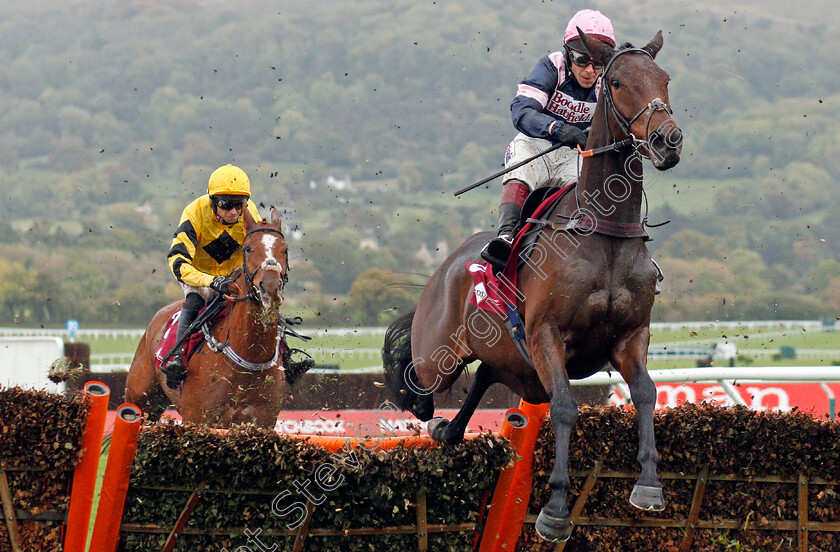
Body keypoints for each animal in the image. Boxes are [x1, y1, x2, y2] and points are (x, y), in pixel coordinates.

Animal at [123, 207, 290, 426]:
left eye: (285, 249)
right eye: (247, 248)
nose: (270, 288)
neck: (248, 358)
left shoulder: (262, 421)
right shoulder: (198, 418)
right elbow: (180, 257)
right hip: (139, 401)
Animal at [380, 31, 684, 544]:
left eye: (664, 79)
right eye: (617, 82)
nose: (668, 140)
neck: (603, 230)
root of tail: (447, 266)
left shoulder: (630, 336)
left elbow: (645, 393)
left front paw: (648, 485)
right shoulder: (546, 334)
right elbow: (564, 407)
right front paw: (555, 509)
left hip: (517, 363)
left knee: (485, 374)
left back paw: (448, 431)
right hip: (440, 353)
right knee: (420, 380)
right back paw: (422, 409)